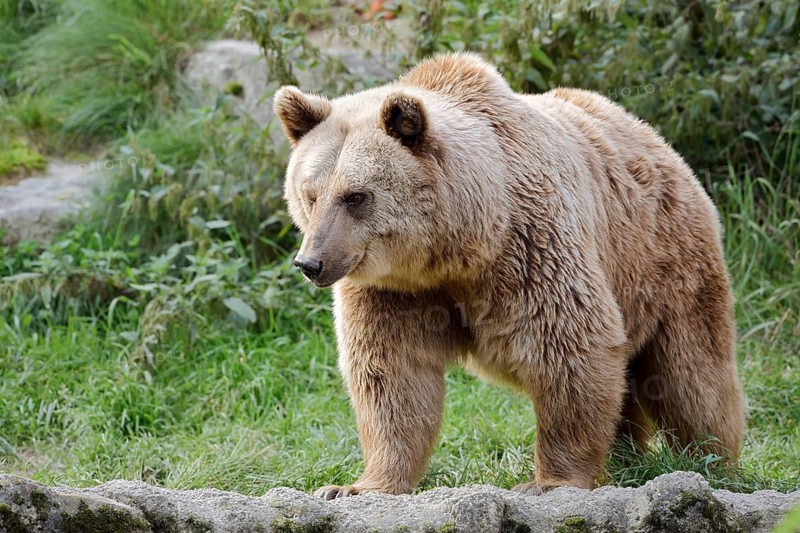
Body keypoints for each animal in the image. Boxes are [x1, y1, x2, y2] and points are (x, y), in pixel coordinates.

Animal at [272, 52, 746, 498]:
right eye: (310, 194)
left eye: (355, 196)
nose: (310, 262)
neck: (455, 249)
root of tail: (660, 142)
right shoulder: (393, 291)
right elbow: (392, 374)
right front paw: (355, 485)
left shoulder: (530, 248)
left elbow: (568, 347)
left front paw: (550, 481)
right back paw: (626, 460)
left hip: (664, 261)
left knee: (691, 375)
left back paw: (712, 462)